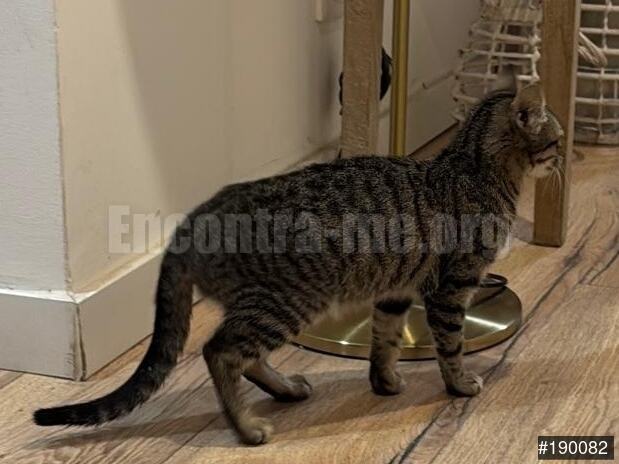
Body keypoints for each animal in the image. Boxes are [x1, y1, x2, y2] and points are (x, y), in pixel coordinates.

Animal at [34, 81, 563, 446]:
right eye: (557, 138)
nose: (560, 158)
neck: (471, 169)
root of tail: (194, 220)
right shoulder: (451, 288)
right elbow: (450, 346)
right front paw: (459, 384)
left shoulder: (395, 292)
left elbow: (385, 342)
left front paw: (385, 381)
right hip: (288, 301)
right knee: (220, 352)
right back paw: (247, 428)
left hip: (273, 306)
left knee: (245, 356)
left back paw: (285, 389)